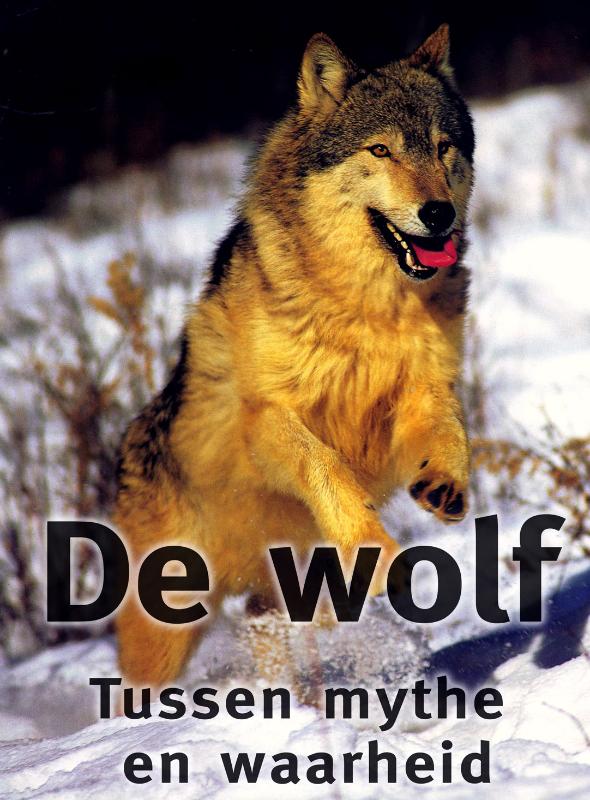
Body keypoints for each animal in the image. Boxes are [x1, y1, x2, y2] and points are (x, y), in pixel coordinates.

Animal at [114, 23, 475, 689]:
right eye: (381, 151)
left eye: (443, 148)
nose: (438, 213)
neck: (367, 309)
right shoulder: (266, 419)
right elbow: (323, 465)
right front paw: (375, 554)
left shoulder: (420, 391)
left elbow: (451, 429)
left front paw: (443, 484)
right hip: (167, 628)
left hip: (273, 594)